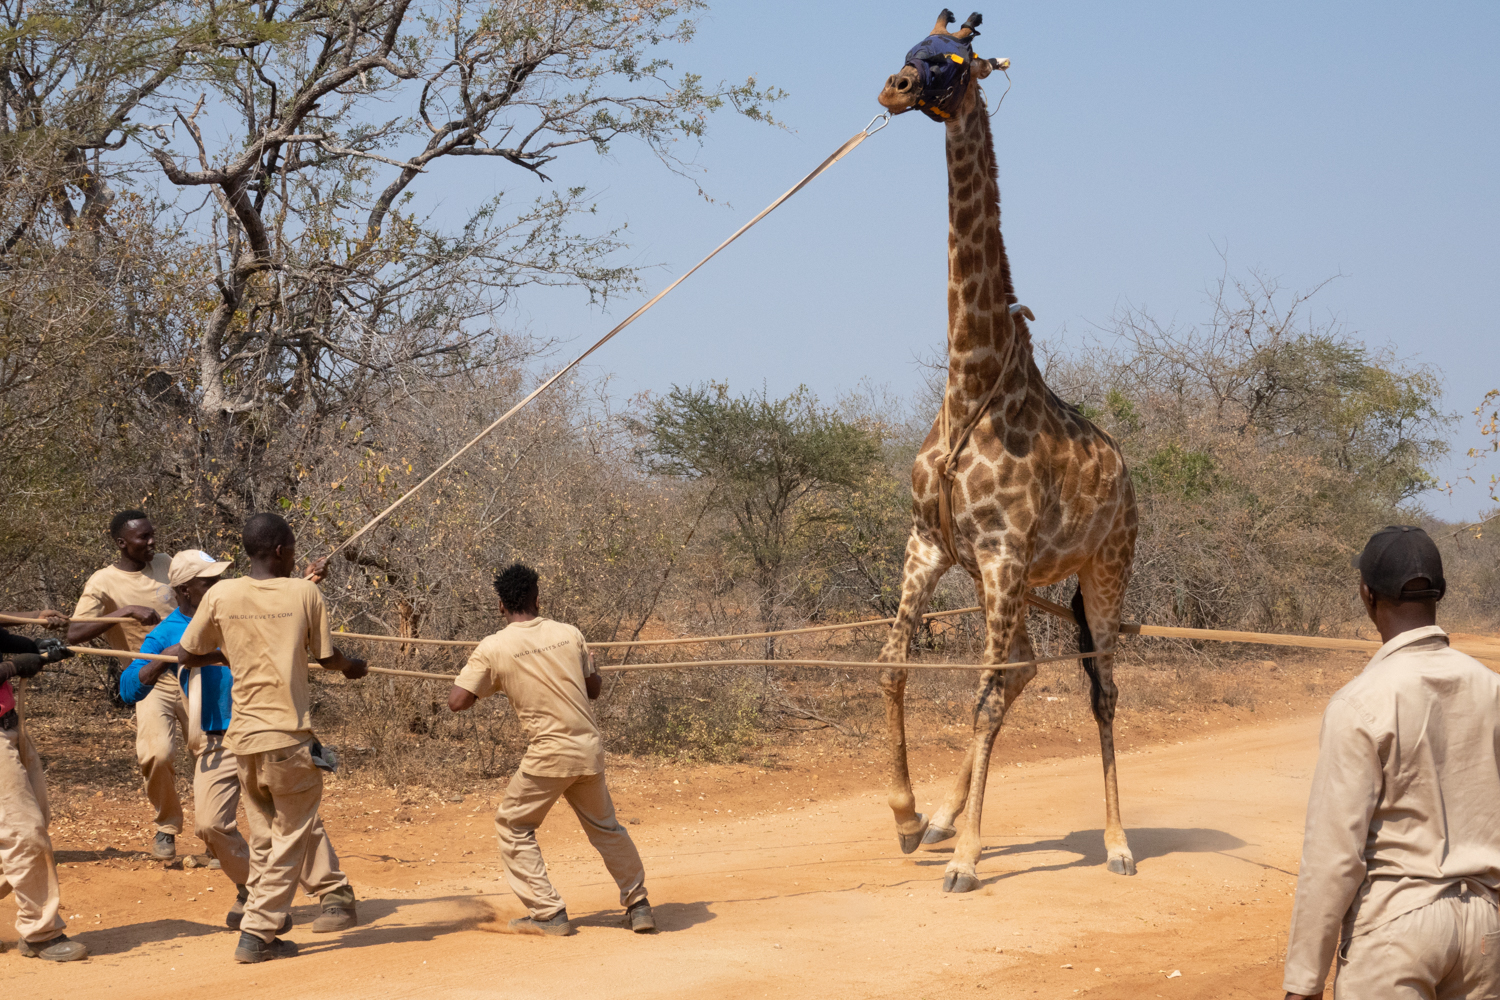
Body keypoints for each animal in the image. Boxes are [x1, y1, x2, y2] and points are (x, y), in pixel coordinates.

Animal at [874, 10, 1140, 893]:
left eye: (951, 60)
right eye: (910, 48)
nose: (894, 89)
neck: (971, 382)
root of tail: (1130, 479)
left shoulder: (998, 551)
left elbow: (982, 697)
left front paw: (963, 860)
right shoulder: (932, 543)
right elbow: (894, 664)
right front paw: (908, 817)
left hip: (1104, 567)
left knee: (1100, 688)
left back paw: (1119, 844)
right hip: (1026, 582)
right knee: (1021, 666)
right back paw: (943, 818)